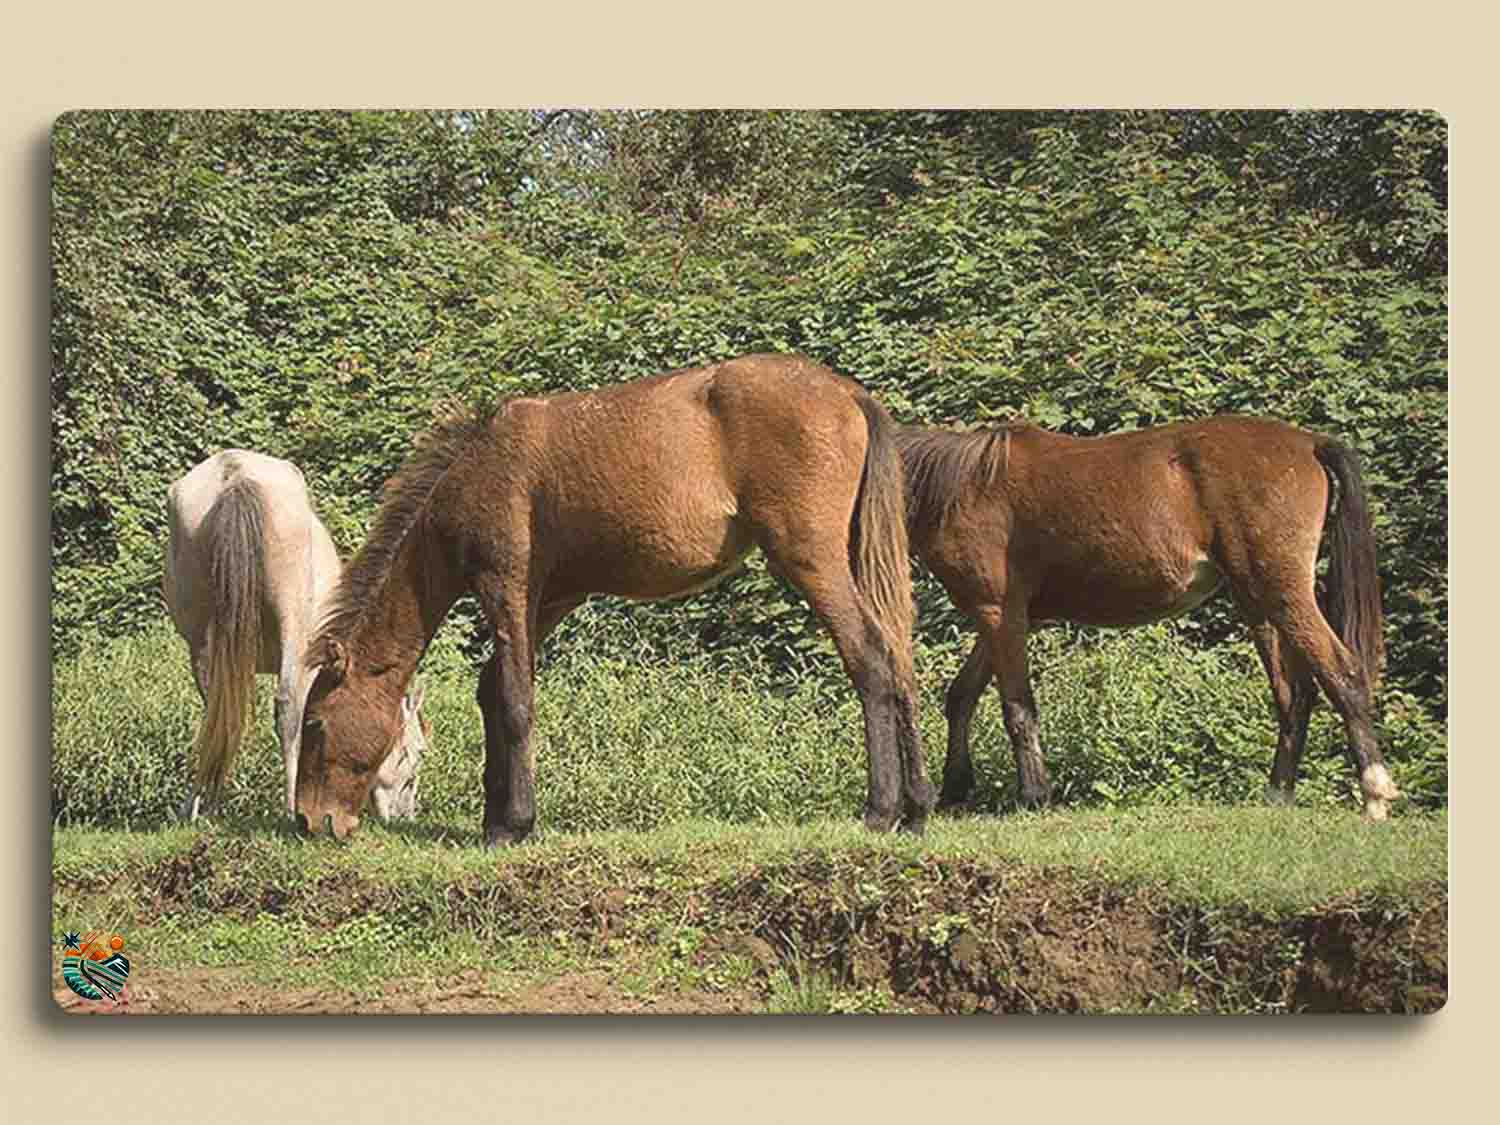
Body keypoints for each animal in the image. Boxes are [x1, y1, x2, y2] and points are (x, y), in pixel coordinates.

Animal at [292, 354, 930, 846]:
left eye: (317, 723)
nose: (308, 821)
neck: (473, 473)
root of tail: (848, 392)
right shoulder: (546, 600)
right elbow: (493, 692)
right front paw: (493, 820)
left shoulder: (505, 585)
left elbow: (515, 700)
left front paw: (516, 823)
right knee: (899, 660)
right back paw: (918, 808)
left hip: (812, 560)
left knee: (871, 660)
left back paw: (880, 810)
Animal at [894, 414, 1398, 822]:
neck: (964, 487)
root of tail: (1309, 442)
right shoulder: (1000, 619)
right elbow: (961, 695)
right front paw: (954, 790)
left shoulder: (1000, 613)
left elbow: (1017, 710)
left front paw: (1034, 795)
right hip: (1262, 606)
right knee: (1295, 696)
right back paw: (1279, 794)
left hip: (1284, 593)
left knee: (1344, 674)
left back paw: (1374, 793)